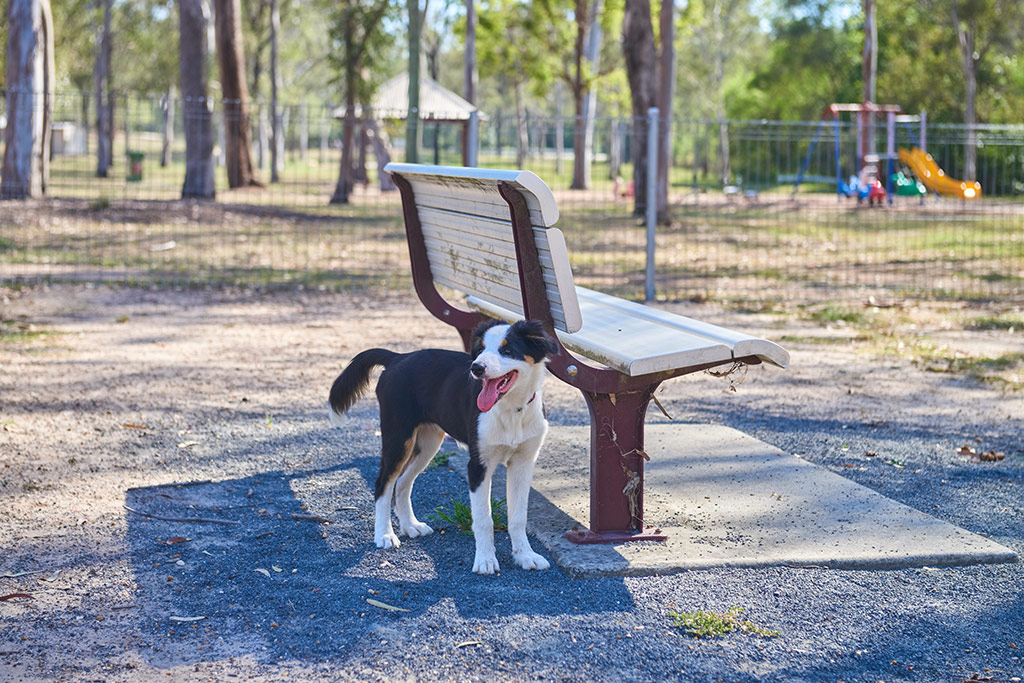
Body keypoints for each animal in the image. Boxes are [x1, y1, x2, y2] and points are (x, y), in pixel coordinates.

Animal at [327, 321, 557, 577]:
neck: (511, 410)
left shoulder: (523, 463)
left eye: (507, 350)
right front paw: (485, 560)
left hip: (428, 443)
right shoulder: (478, 465)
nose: (476, 368)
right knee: (383, 485)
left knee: (403, 482)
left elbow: (518, 517)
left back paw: (410, 526)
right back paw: (385, 535)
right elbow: (483, 519)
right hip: (398, 439)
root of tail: (398, 358)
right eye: (481, 349)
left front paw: (525, 556)